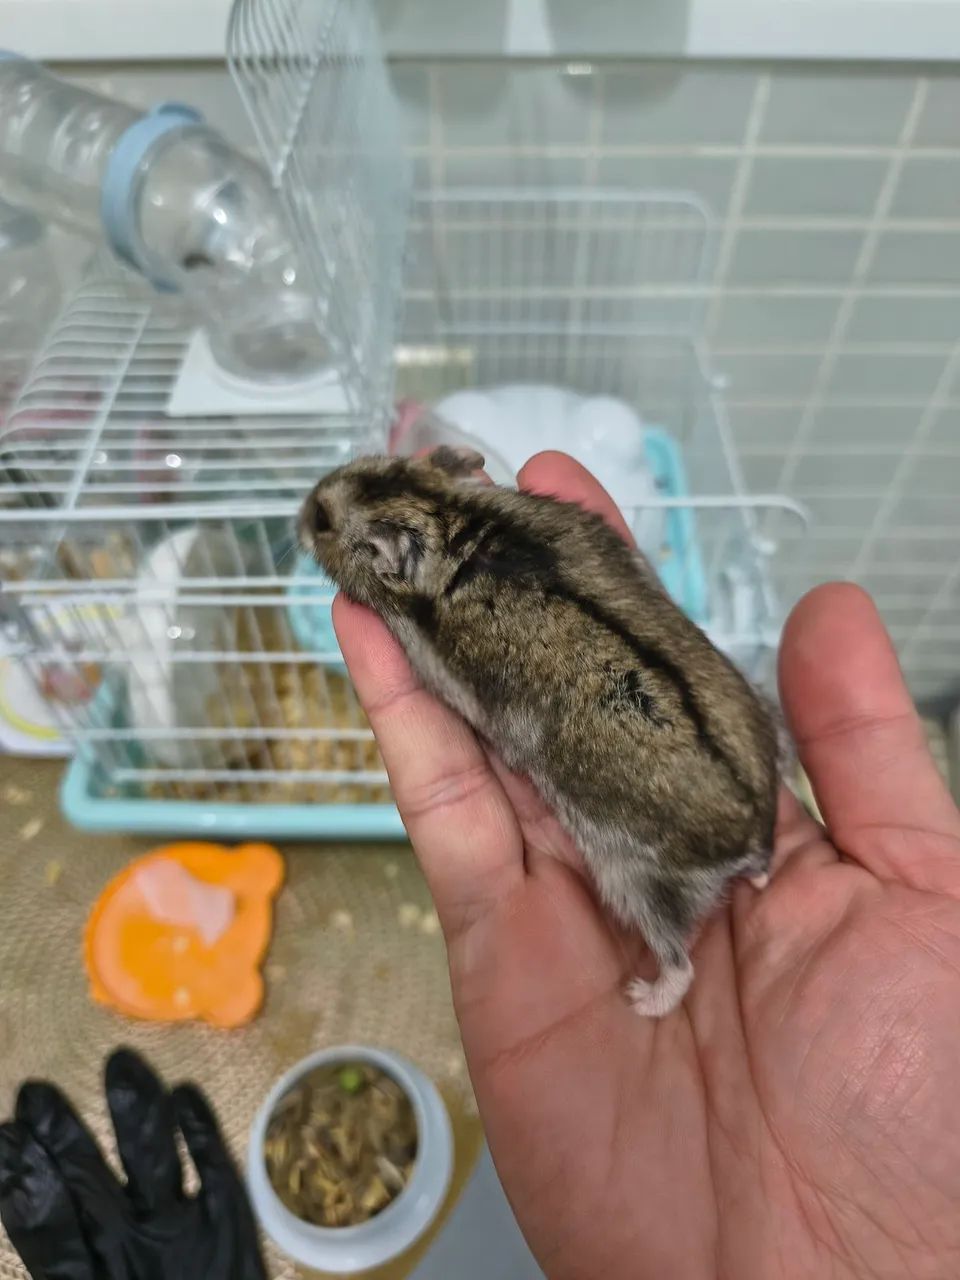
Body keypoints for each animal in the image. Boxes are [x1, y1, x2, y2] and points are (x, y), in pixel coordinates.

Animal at [299, 448, 779, 1017]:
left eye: (322, 519)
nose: (300, 509)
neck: (443, 515)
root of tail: (753, 832)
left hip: (637, 883)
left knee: (680, 963)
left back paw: (641, 997)